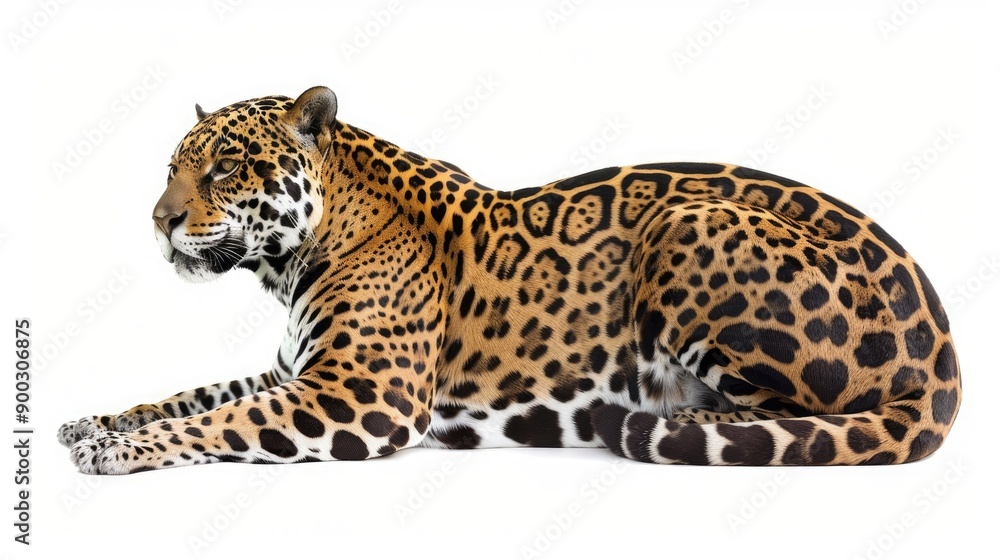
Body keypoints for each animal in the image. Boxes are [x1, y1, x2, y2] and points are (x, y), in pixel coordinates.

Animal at [58, 86, 961, 473]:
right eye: (171, 169)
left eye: (225, 167)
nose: (158, 221)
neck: (291, 262)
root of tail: (946, 353)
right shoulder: (297, 372)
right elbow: (191, 395)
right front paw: (93, 424)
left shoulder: (362, 397)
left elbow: (221, 420)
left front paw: (120, 451)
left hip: (687, 225)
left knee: (794, 420)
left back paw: (663, 416)